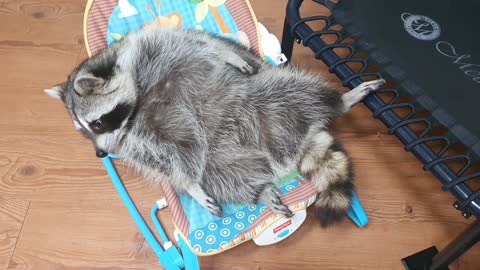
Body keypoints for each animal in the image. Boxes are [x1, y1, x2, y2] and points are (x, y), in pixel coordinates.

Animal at [43, 25, 384, 226]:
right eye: (84, 132)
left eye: (98, 122)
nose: (100, 155)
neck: (140, 99)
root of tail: (282, 151)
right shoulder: (144, 139)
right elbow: (167, 161)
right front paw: (189, 186)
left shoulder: (153, 43)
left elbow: (200, 44)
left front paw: (226, 55)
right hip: (222, 157)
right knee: (219, 172)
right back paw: (257, 191)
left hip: (267, 96)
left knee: (299, 91)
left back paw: (341, 100)